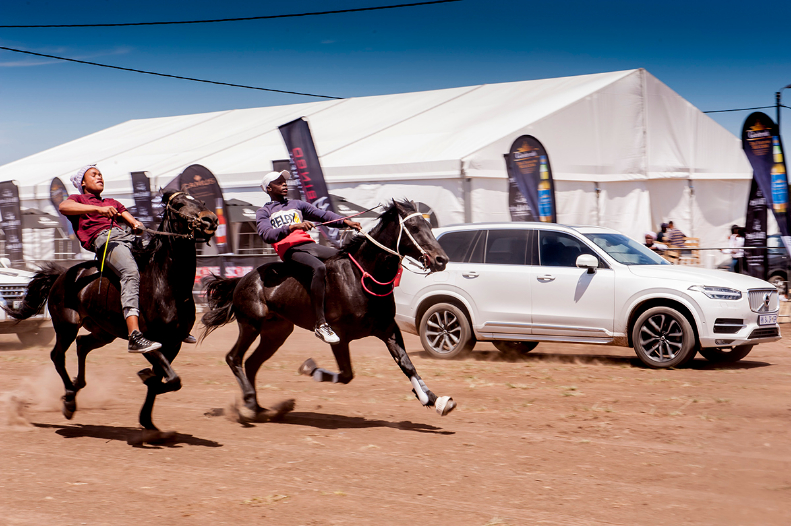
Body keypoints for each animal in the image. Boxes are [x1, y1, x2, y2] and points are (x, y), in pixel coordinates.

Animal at [3, 190, 218, 432]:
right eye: (179, 204)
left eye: (201, 201)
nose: (210, 220)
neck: (166, 282)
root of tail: (62, 274)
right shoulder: (151, 341)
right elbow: (170, 379)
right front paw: (146, 378)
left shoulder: (174, 342)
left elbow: (162, 378)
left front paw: (147, 418)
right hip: (66, 327)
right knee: (58, 355)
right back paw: (69, 400)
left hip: (103, 332)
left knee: (82, 345)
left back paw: (77, 386)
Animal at [200, 200, 455, 422]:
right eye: (414, 227)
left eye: (428, 226)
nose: (441, 260)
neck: (359, 277)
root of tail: (243, 279)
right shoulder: (340, 338)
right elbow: (346, 374)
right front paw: (310, 369)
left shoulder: (388, 329)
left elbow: (406, 364)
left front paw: (434, 399)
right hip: (250, 324)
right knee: (234, 358)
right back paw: (249, 404)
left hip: (276, 333)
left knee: (252, 363)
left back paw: (259, 408)